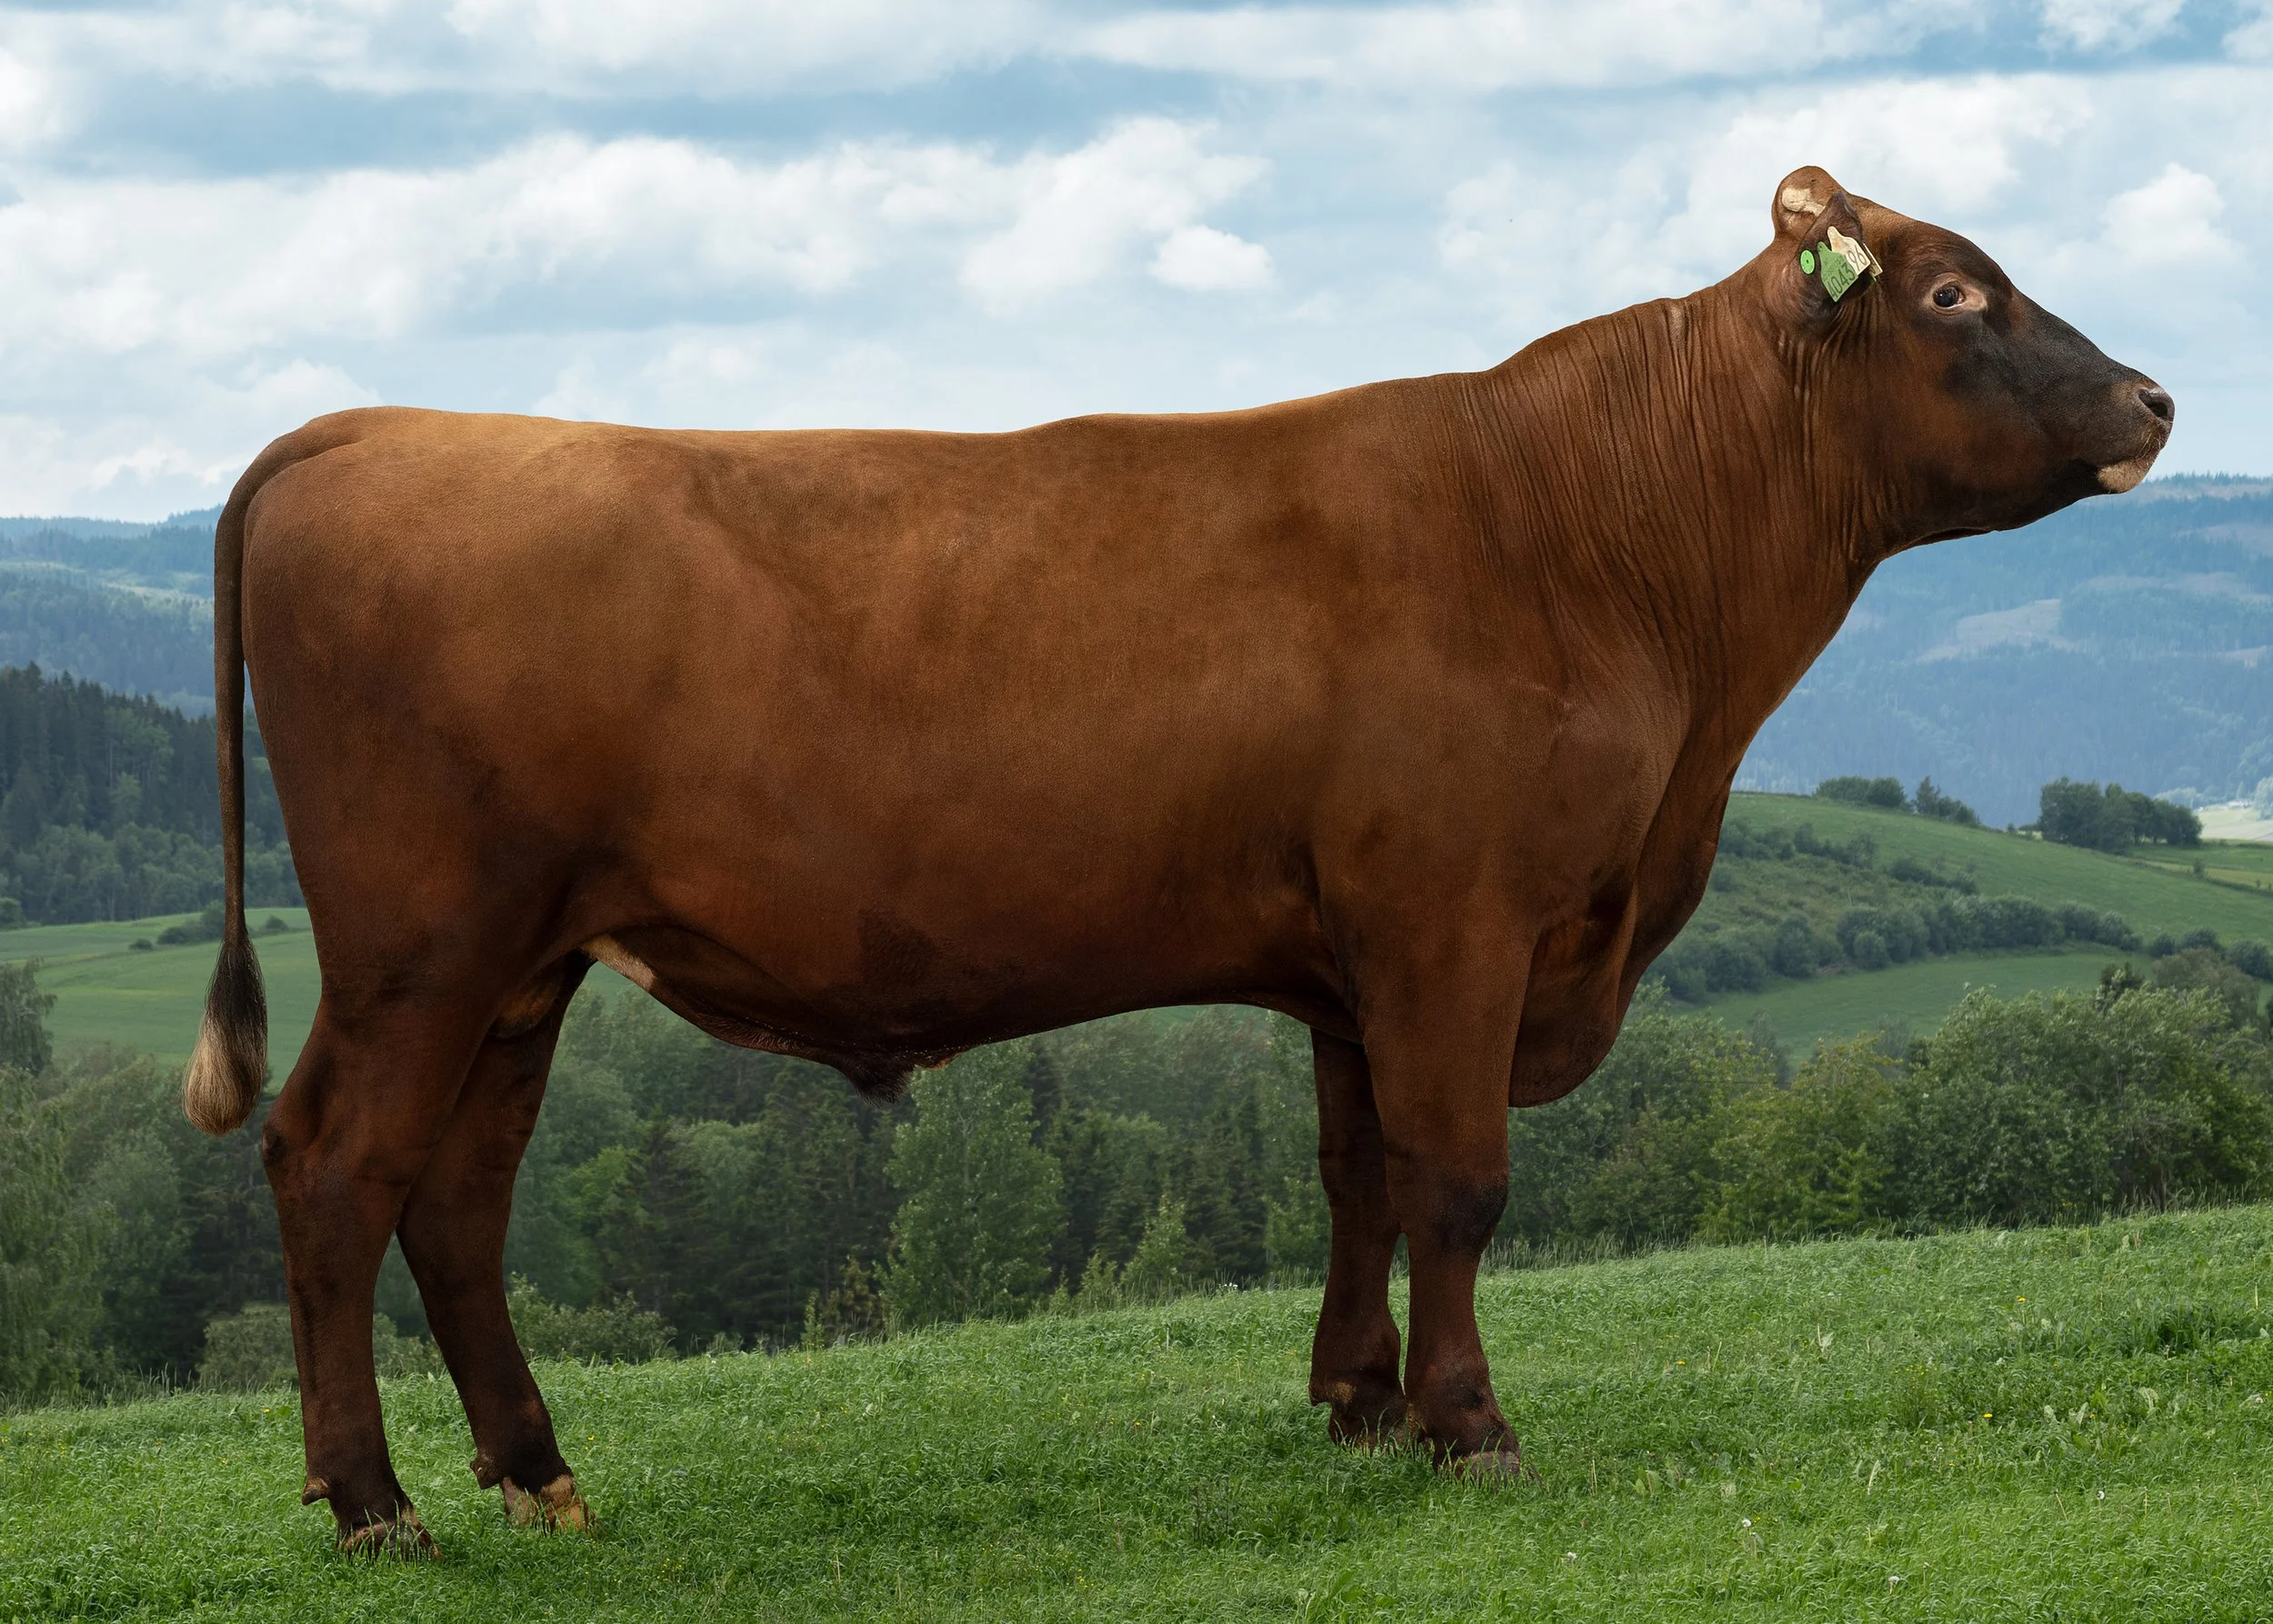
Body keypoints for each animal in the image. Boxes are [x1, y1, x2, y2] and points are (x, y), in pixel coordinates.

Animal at [183, 166, 2170, 1554]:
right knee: (335, 1168)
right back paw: (375, 1502)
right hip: (424, 944)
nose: (2153, 399)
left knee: (457, 1199)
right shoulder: (1455, 919)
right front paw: (1470, 1426)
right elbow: (1459, 1179)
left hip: (525, 962)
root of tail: (364, 427)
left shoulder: (1357, 954)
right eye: (1953, 290)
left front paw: (1359, 1404)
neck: (1596, 545)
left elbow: (1361, 1176)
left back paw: (538, 1475)